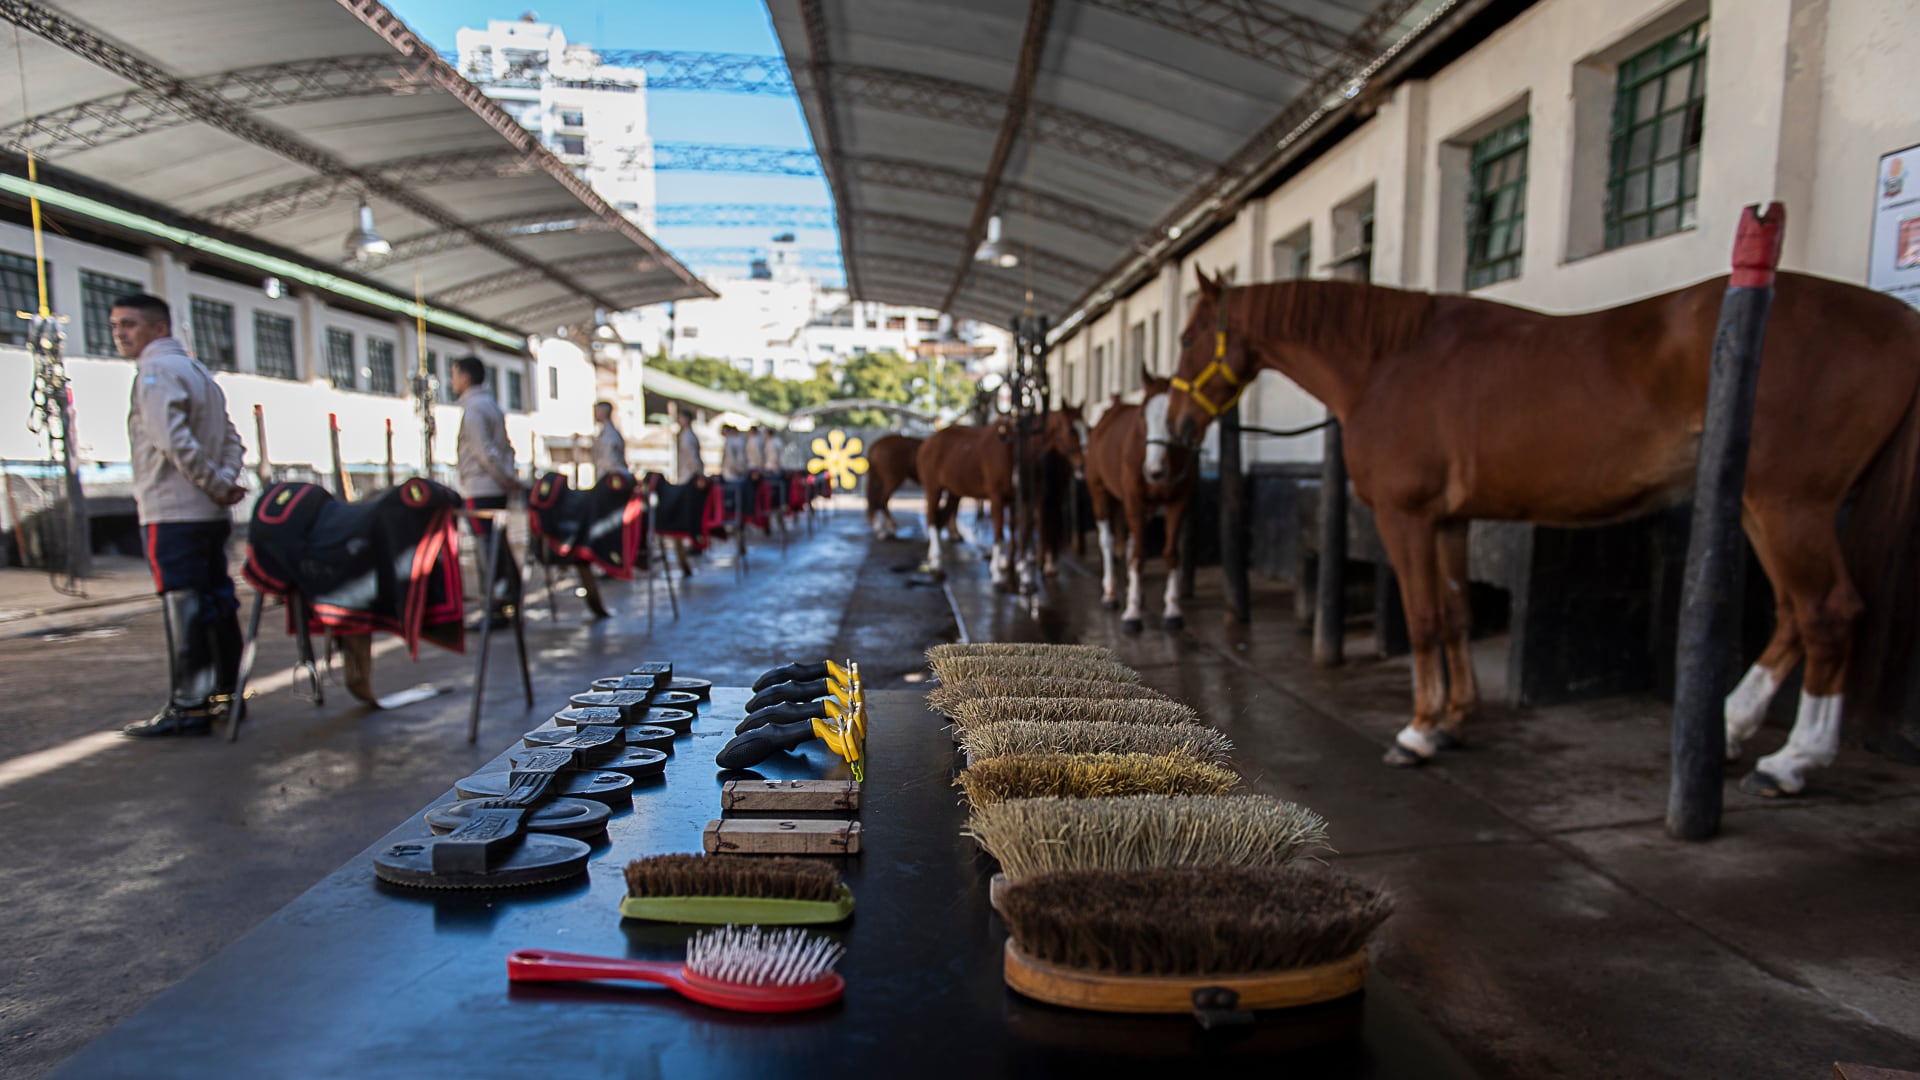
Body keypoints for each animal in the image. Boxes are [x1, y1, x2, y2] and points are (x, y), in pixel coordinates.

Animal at [921, 405, 1090, 588]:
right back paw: (937, 564)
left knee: (940, 519)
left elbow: (1022, 531)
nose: (1083, 466)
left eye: (1087, 429)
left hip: (954, 492)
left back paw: (933, 560)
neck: (1017, 448)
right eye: (1071, 431)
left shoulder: (1023, 499)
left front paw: (1023, 573)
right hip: (934, 489)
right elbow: (1000, 533)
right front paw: (998, 574)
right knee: (931, 519)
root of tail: (928, 442)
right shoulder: (998, 497)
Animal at [1090, 367, 1190, 630]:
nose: (1154, 471)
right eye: (1143, 416)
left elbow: (1170, 552)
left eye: (1173, 418)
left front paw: (1173, 609)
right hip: (1100, 492)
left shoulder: (1179, 500)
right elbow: (1138, 554)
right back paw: (1111, 593)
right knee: (1108, 540)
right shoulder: (1133, 498)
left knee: (1132, 542)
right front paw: (1132, 612)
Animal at [1152, 269, 1920, 791]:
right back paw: (1731, 730)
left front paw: (1418, 731)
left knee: (1828, 613)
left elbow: (1423, 618)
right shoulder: (1451, 520)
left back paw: (1793, 761)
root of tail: (1899, 320)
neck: (1388, 363)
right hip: (1762, 507)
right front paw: (1456, 720)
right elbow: (1457, 614)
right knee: (1794, 615)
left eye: (1187, 337)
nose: (1181, 432)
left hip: (1791, 502)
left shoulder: (1407, 516)